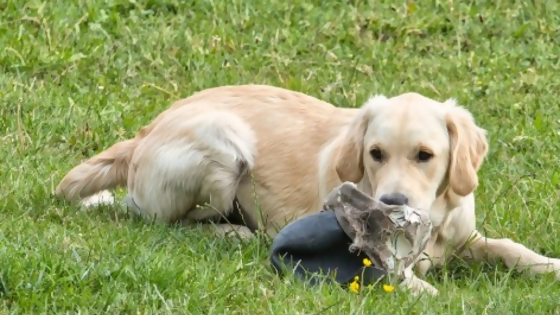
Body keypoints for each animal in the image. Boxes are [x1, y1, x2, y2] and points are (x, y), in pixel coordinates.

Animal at [55, 84, 560, 296]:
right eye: (375, 153)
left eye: (425, 155)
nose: (392, 204)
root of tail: (141, 136)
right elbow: (404, 277)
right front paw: (427, 291)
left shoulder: (466, 237)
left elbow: (509, 248)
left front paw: (548, 265)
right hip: (223, 143)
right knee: (170, 222)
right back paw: (235, 233)